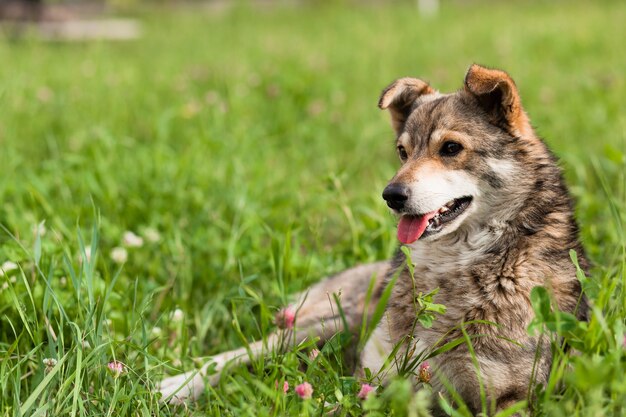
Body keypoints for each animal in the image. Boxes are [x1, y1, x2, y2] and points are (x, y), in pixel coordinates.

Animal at [157, 63, 584, 414]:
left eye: (451, 148)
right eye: (402, 152)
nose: (391, 195)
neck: (455, 266)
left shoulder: (511, 397)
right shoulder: (376, 375)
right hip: (341, 320)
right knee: (250, 349)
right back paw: (176, 385)